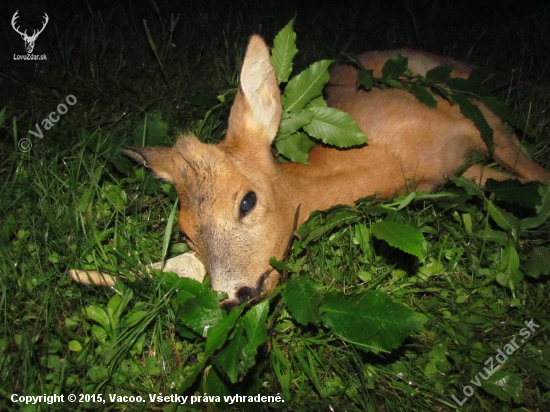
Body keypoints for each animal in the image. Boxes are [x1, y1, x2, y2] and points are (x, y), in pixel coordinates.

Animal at [125, 35, 550, 310]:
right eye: (186, 234)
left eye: (247, 201)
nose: (232, 297)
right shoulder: (460, 169)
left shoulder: (473, 122)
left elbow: (535, 171)